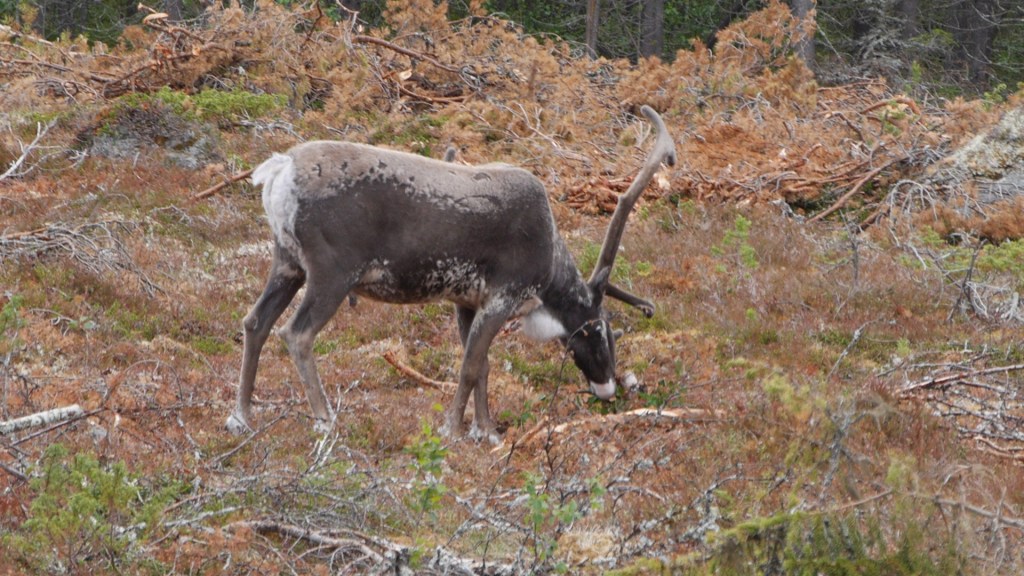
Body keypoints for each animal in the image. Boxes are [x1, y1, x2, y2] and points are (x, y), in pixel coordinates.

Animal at [228, 105, 676, 442]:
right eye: (599, 328)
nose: (609, 386)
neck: (548, 273)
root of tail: (278, 172)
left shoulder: (466, 301)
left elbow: (481, 364)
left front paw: (486, 430)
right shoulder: (503, 296)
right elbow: (471, 366)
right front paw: (453, 431)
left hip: (287, 263)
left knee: (254, 322)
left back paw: (242, 416)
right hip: (331, 273)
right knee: (296, 333)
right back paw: (325, 420)